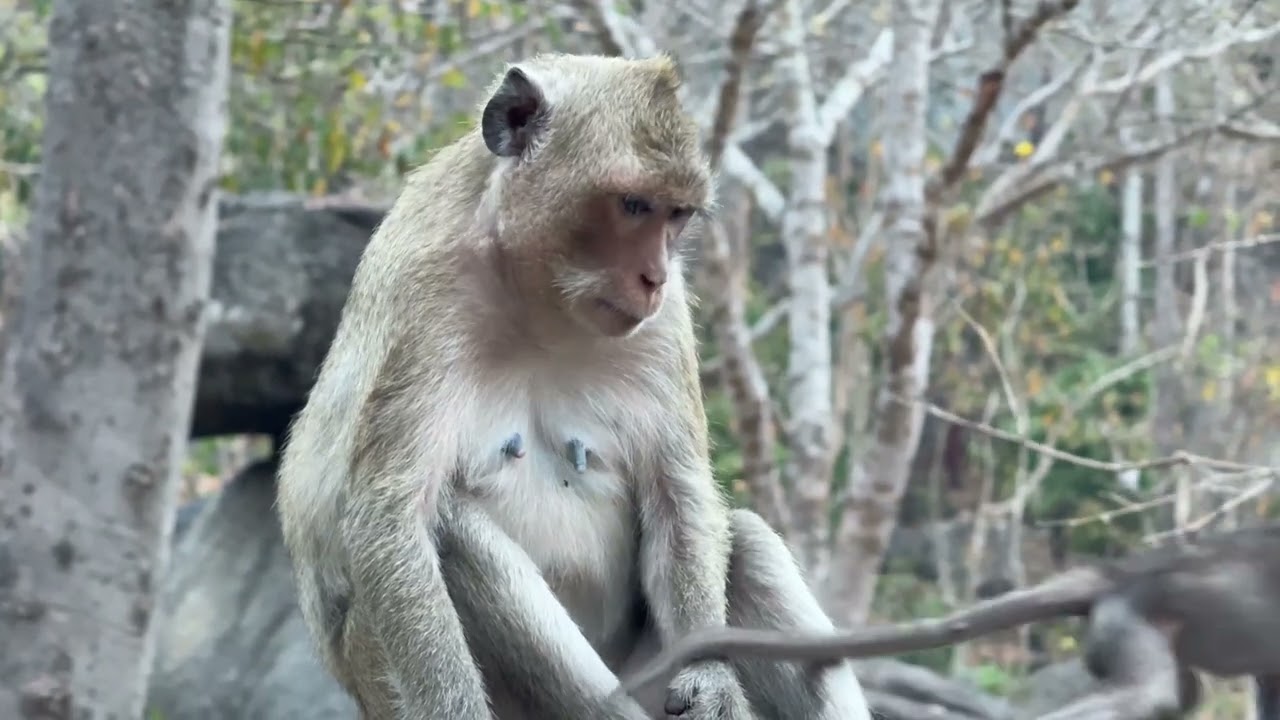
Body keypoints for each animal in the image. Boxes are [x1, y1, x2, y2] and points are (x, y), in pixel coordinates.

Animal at [275, 53, 872, 720]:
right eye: (634, 205)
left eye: (677, 214)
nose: (654, 277)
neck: (538, 298)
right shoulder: (422, 298)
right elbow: (389, 517)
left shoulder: (664, 324)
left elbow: (678, 488)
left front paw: (713, 678)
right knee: (456, 534)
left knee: (745, 538)